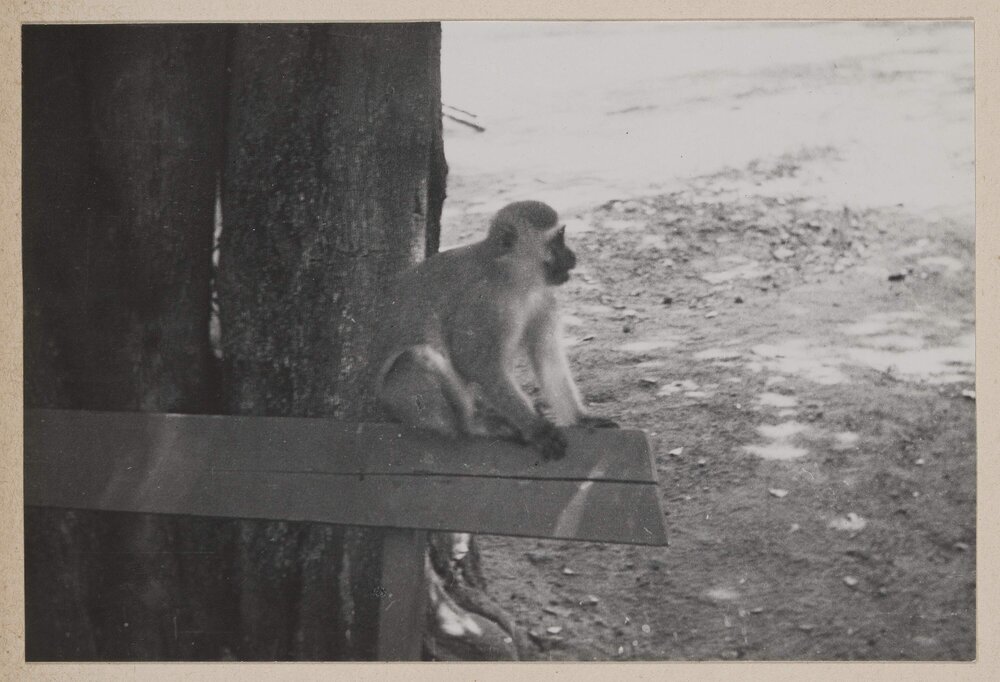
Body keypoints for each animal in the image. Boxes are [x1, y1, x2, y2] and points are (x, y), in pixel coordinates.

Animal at [375, 200, 617, 461]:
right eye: (557, 240)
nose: (572, 256)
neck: (512, 277)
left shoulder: (543, 297)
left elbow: (546, 356)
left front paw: (581, 419)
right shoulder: (482, 300)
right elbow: (471, 359)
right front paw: (536, 428)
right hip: (397, 400)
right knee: (417, 356)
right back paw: (472, 425)